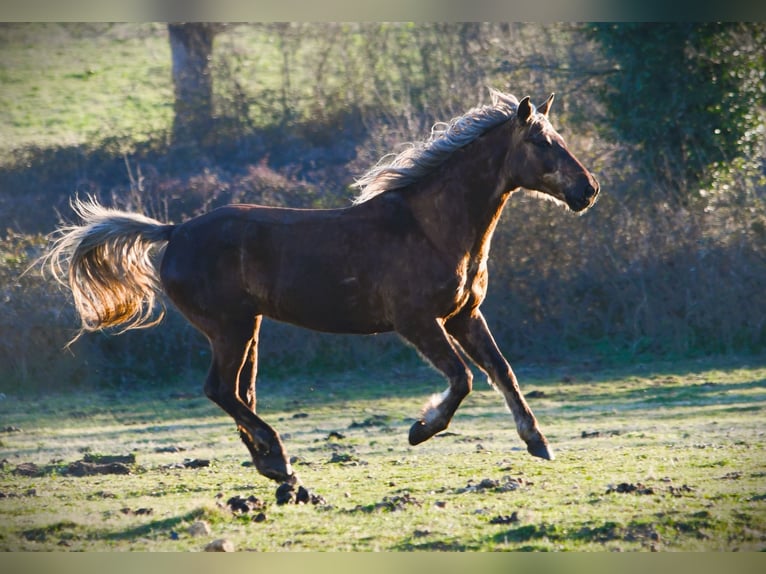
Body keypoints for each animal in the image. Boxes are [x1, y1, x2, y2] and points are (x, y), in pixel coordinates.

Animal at [45, 89, 599, 499]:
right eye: (543, 142)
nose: (588, 190)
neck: (430, 226)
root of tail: (174, 231)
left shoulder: (465, 316)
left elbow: (502, 371)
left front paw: (539, 443)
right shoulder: (417, 322)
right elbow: (462, 379)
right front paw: (419, 429)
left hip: (248, 328)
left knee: (239, 392)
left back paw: (277, 472)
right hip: (229, 328)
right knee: (220, 390)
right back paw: (282, 463)